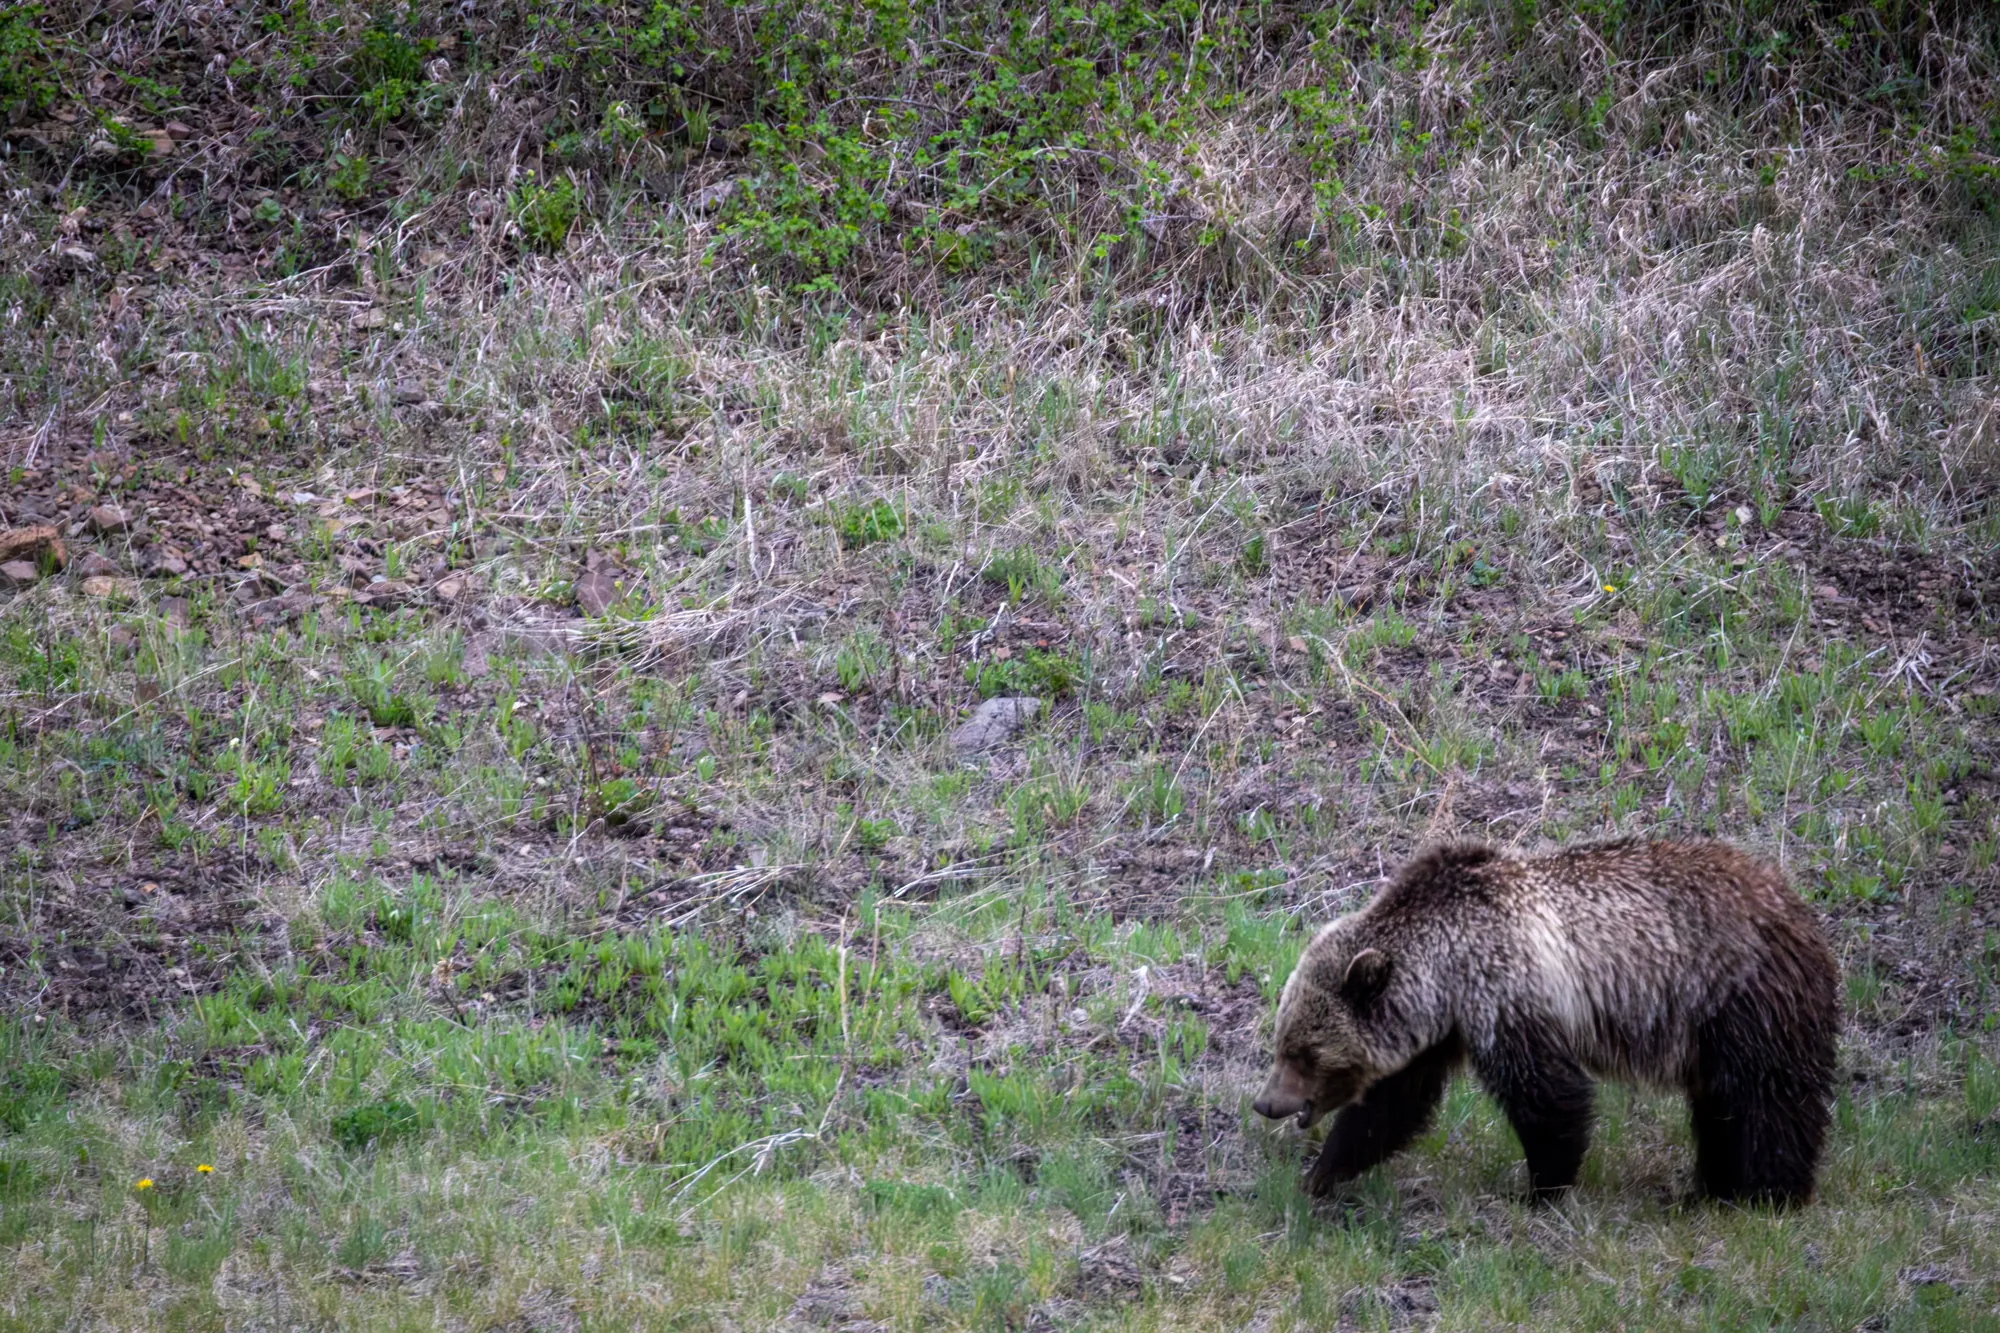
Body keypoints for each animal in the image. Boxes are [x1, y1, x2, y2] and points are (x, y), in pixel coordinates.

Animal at [1252, 838, 1839, 1205]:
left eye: (1305, 1053)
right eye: (1282, 1042)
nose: (1266, 1103)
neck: (1444, 969)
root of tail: (1796, 902)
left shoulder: (1507, 992)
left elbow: (1548, 1095)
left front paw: (1538, 1190)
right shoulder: (1439, 1031)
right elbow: (1391, 1107)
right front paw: (1321, 1175)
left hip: (1740, 996)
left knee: (1768, 1098)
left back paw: (1768, 1193)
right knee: (1719, 1106)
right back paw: (1710, 1187)